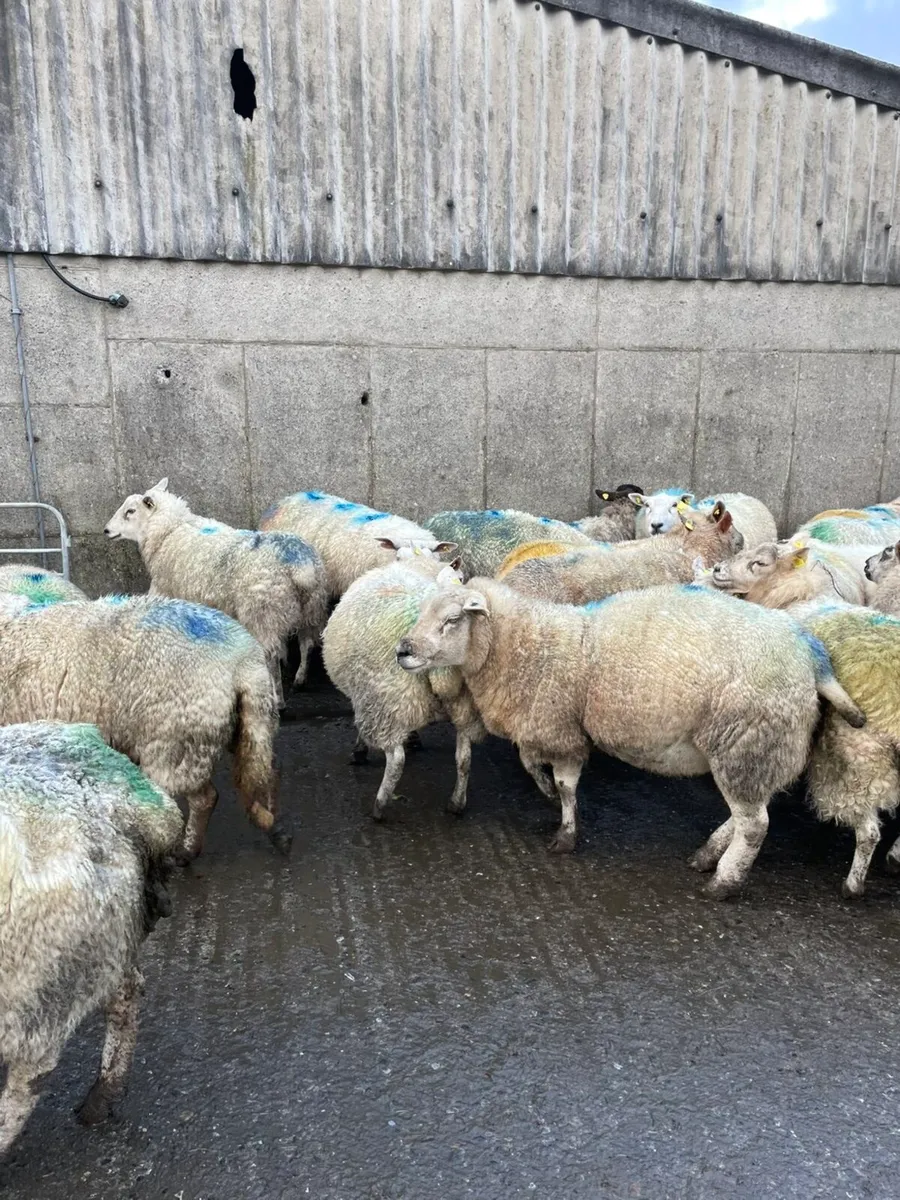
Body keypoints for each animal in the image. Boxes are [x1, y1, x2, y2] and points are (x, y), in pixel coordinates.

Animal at [0, 593, 288, 861]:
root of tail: (243, 663)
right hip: (250, 723)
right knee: (266, 771)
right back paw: (275, 828)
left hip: (175, 740)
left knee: (202, 797)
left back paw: (184, 850)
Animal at [105, 480, 329, 701]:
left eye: (130, 511)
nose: (106, 530)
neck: (171, 529)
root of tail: (301, 568)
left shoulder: (164, 588)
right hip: (309, 608)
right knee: (307, 644)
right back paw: (299, 680)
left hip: (263, 613)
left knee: (271, 656)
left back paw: (277, 697)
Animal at [323, 552, 484, 820]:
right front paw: (414, 738)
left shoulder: (369, 695)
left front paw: (360, 750)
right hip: (463, 706)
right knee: (464, 758)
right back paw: (457, 803)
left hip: (390, 697)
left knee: (397, 759)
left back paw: (379, 806)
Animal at [395, 578, 863, 898]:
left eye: (452, 620)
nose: (403, 650)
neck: (529, 645)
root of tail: (811, 656)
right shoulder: (547, 725)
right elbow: (531, 763)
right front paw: (546, 794)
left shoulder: (561, 729)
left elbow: (566, 785)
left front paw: (565, 835)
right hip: (758, 750)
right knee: (750, 812)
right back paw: (706, 856)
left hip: (744, 741)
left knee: (755, 824)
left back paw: (723, 882)